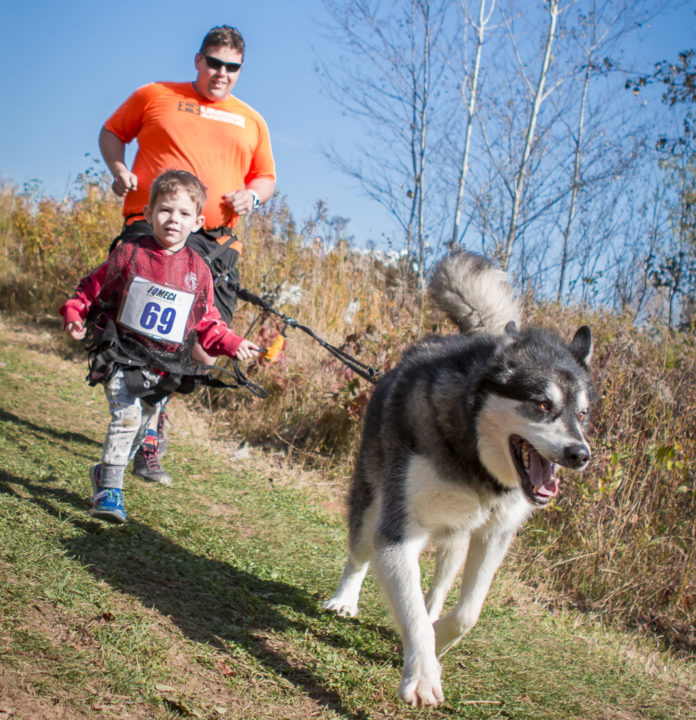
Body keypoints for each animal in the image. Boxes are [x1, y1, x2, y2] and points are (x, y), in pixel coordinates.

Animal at [322, 250, 592, 704]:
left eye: (583, 413)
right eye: (542, 404)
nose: (581, 454)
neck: (475, 461)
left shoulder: (495, 534)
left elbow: (468, 611)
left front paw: (438, 638)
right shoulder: (396, 535)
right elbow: (410, 608)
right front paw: (422, 673)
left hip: (456, 539)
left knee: (438, 585)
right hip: (370, 504)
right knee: (359, 554)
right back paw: (345, 599)